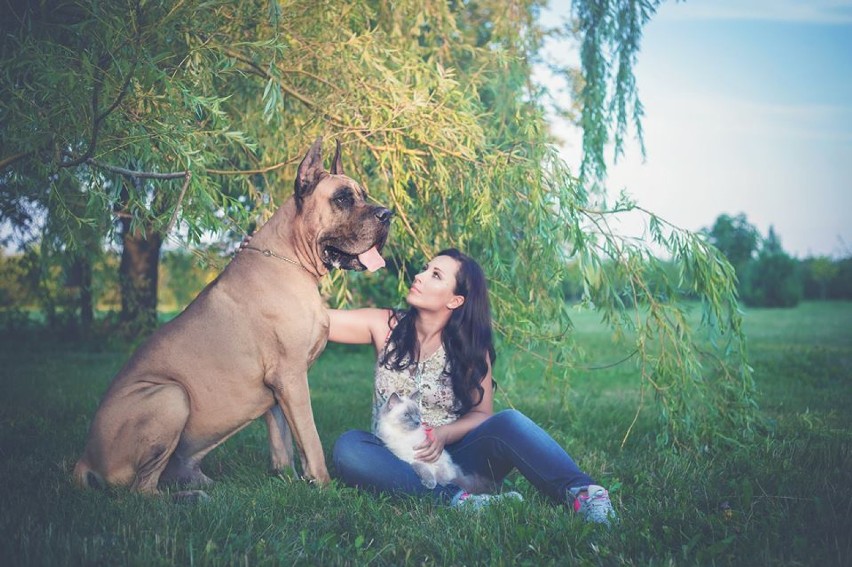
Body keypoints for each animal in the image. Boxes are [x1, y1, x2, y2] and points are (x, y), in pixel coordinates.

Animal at [74, 138, 392, 496]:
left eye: (363, 195)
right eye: (342, 199)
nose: (387, 214)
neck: (290, 259)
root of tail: (85, 458)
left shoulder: (277, 388)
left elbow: (282, 441)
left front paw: (288, 481)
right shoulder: (292, 377)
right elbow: (309, 438)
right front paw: (323, 486)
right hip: (171, 396)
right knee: (141, 491)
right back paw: (190, 497)